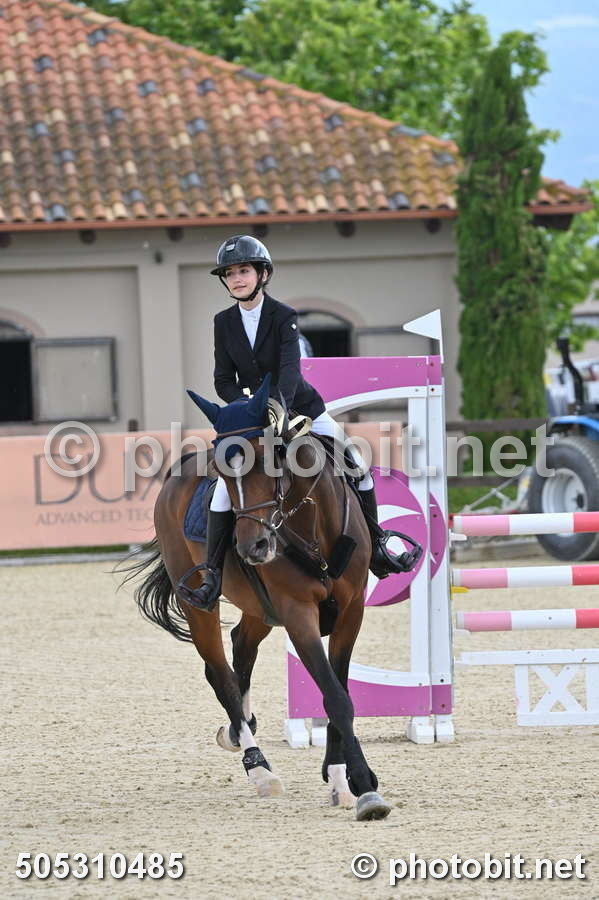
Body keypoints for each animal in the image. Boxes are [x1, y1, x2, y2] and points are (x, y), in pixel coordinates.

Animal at [125, 375, 393, 821]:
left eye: (269, 460)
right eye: (221, 471)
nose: (254, 547)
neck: (311, 528)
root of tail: (176, 475)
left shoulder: (350, 611)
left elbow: (339, 691)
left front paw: (341, 777)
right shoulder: (297, 614)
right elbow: (335, 697)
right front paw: (366, 789)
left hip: (259, 608)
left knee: (241, 648)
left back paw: (240, 729)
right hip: (201, 604)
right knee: (220, 674)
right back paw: (258, 767)